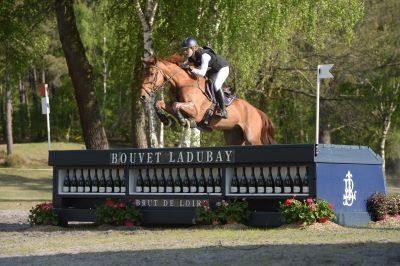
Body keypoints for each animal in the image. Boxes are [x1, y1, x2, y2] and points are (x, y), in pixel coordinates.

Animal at [138, 54, 276, 145]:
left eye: (151, 74)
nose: (142, 96)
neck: (183, 83)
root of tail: (257, 111)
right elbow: (160, 103)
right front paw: (167, 121)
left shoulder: (196, 111)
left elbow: (176, 105)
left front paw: (184, 121)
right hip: (234, 136)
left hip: (252, 137)